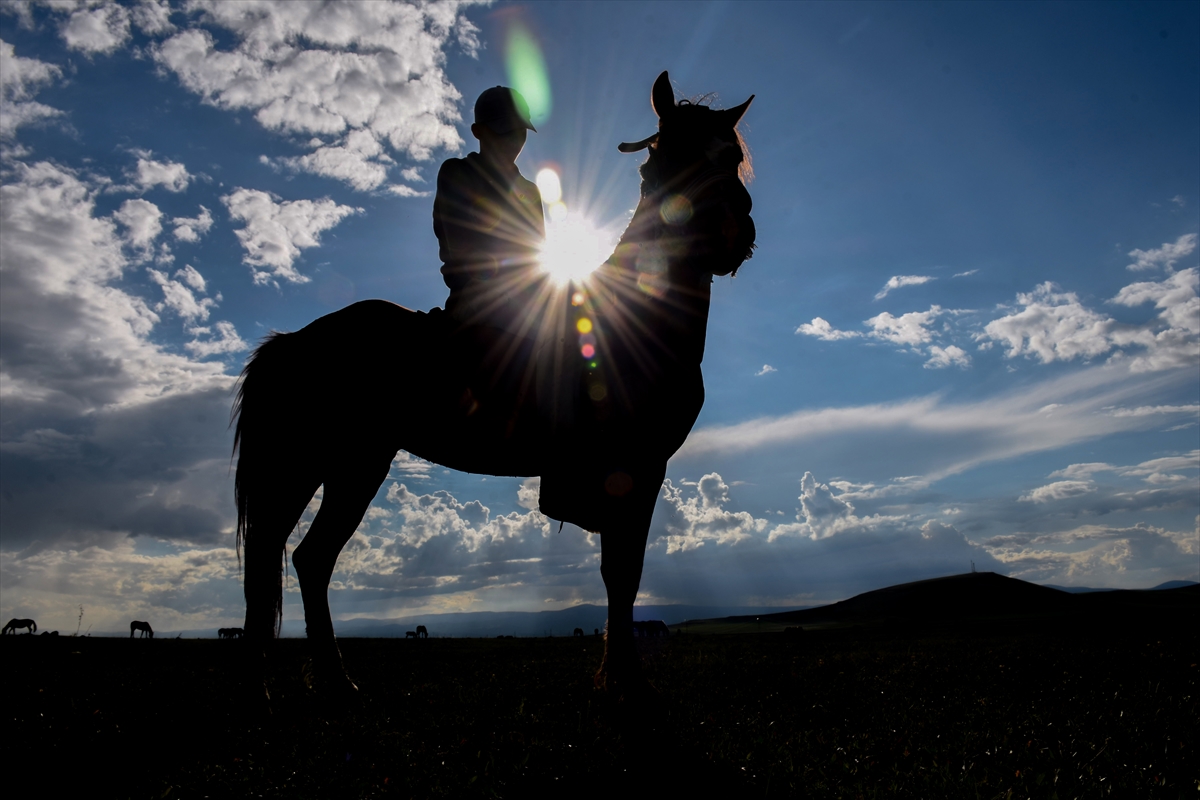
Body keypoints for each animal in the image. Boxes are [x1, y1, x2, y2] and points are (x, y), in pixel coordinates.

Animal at [230, 70, 753, 695]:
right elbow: (622, 571)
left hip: (331, 464)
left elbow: (622, 572)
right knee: (291, 557)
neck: (641, 320)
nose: (728, 234)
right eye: (661, 161)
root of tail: (295, 340)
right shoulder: (635, 467)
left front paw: (617, 673)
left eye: (732, 156)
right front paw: (623, 678)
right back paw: (306, 680)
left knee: (296, 558)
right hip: (339, 462)